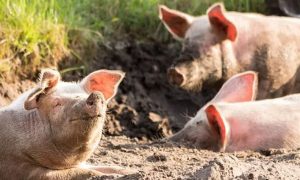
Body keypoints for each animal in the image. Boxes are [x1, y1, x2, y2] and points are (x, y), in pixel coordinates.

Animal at [0, 68, 137, 179]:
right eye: (57, 103)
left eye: (85, 95)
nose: (96, 95)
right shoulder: (21, 168)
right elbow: (82, 172)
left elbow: (105, 167)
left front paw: (131, 172)